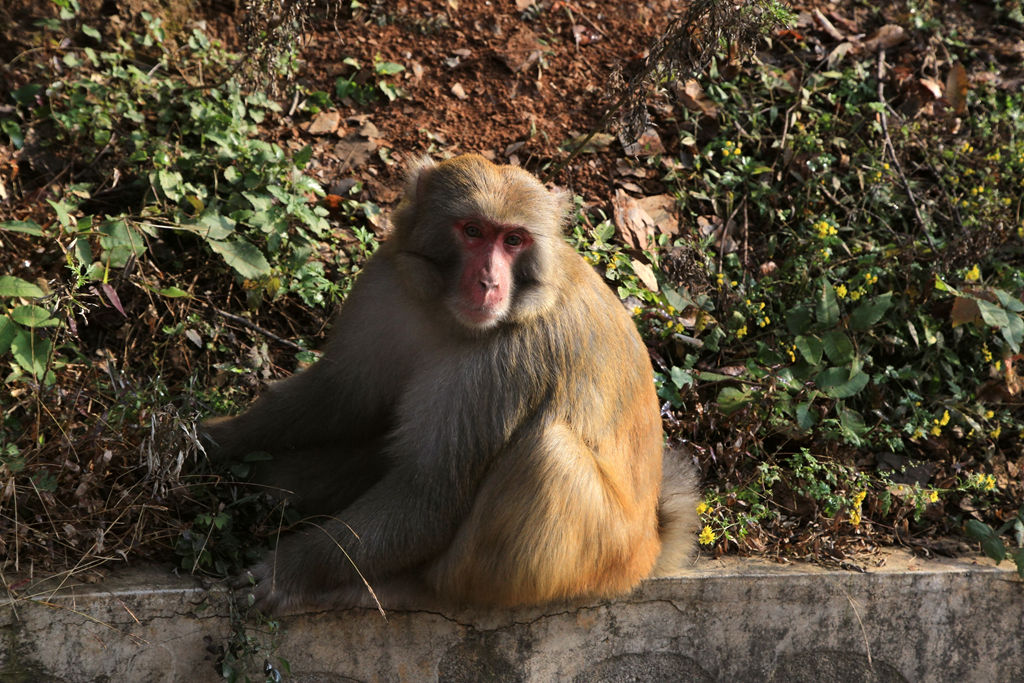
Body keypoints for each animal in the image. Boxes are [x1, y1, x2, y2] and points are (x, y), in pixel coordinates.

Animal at [203, 153, 700, 614]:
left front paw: (288, 572)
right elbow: (342, 394)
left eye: (513, 240)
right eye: (473, 231)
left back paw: (413, 587)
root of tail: (649, 546)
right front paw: (217, 439)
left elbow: (430, 493)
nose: (489, 283)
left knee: (548, 455)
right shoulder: (385, 282)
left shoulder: (505, 361)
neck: (444, 316)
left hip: (597, 558)